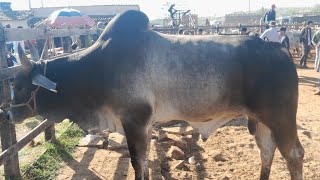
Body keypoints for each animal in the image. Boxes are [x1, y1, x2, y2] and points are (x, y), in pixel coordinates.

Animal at [7, 10, 302, 179]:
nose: (9, 114)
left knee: (294, 155)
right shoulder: (144, 125)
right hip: (261, 121)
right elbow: (146, 162)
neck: (98, 67)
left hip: (280, 118)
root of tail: (280, 50)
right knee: (267, 150)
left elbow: (139, 163)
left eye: (20, 85)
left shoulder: (134, 120)